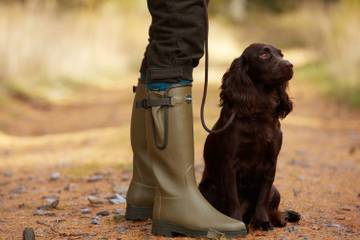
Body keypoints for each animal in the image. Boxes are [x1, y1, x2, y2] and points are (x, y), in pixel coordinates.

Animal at [200, 42, 300, 231]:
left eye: (281, 55)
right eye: (264, 55)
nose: (290, 65)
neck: (258, 112)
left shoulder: (270, 162)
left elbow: (262, 198)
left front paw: (262, 222)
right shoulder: (229, 164)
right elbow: (233, 198)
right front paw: (236, 222)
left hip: (275, 190)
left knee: (273, 209)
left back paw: (279, 219)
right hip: (207, 189)